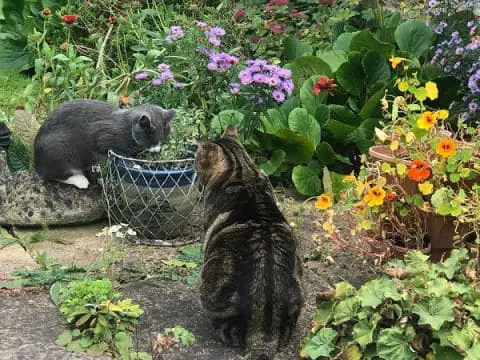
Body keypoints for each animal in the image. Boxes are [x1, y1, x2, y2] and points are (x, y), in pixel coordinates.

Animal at [33, 98, 173, 188]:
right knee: (53, 174)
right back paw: (80, 180)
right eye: (150, 138)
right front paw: (135, 165)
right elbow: (120, 153)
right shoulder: (101, 136)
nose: (157, 150)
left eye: (162, 138)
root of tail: (36, 163)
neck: (127, 128)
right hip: (60, 150)